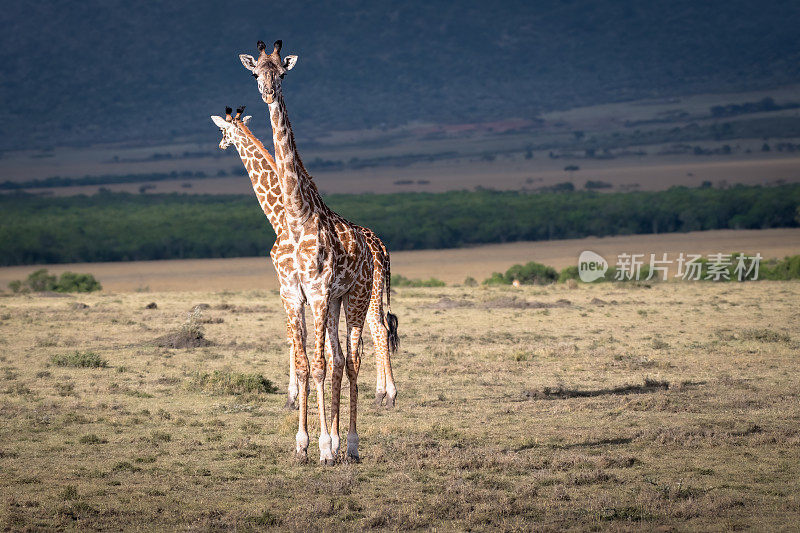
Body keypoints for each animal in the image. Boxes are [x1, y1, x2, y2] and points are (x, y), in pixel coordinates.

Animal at [241, 39, 394, 462]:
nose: (267, 93)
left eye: (282, 72)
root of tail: (373, 250)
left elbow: (321, 365)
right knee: (342, 359)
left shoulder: (319, 291)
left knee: (354, 358)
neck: (295, 218)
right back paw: (341, 441)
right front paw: (303, 444)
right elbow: (305, 364)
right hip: (340, 300)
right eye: (256, 72)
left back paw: (351, 444)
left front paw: (325, 447)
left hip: (356, 297)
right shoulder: (293, 294)